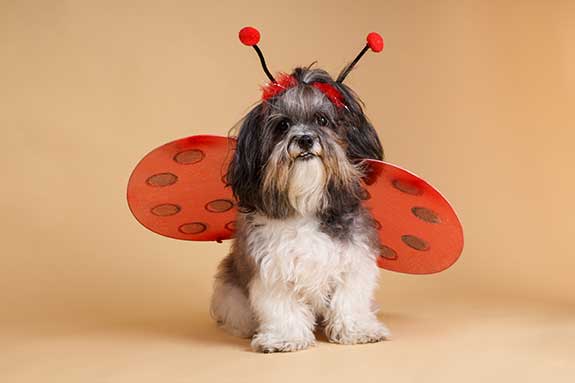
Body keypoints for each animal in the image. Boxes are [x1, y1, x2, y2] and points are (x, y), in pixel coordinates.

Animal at [209, 67, 390, 354]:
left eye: (322, 119)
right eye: (282, 125)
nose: (305, 139)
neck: (306, 205)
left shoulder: (354, 260)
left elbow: (349, 300)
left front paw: (359, 330)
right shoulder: (272, 268)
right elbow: (282, 307)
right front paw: (285, 338)